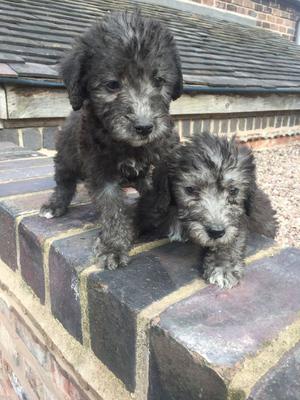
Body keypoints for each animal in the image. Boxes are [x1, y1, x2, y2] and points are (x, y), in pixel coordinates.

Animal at [38, 11, 182, 268]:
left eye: (159, 81)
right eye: (113, 84)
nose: (144, 127)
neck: (129, 147)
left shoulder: (162, 161)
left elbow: (156, 196)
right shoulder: (100, 171)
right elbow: (112, 208)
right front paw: (114, 246)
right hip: (66, 158)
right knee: (64, 183)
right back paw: (54, 205)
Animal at [139, 133, 278, 290]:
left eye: (233, 191)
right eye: (190, 189)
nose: (216, 232)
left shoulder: (239, 220)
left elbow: (231, 239)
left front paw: (223, 267)